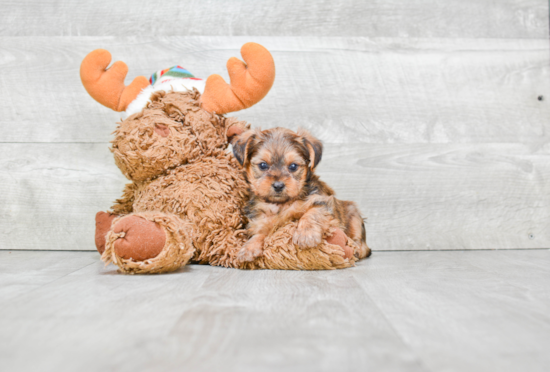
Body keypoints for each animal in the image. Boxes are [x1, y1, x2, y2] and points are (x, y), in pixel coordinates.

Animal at [231, 128, 374, 262]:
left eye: (293, 166)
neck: (280, 204)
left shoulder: (322, 201)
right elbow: (260, 233)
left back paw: (356, 249)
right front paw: (249, 248)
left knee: (363, 246)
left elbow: (311, 214)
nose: (278, 185)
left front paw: (306, 234)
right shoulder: (260, 222)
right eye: (263, 165)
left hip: (353, 214)